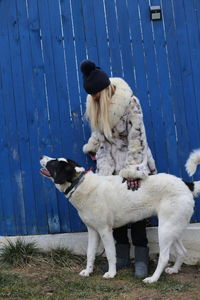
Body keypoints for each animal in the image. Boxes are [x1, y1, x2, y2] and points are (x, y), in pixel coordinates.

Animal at [39, 150, 200, 284]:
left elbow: (111, 254)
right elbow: (90, 253)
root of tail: (185, 184)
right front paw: (88, 271)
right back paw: (174, 269)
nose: (41, 156)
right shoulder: (93, 231)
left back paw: (153, 279)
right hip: (173, 229)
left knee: (165, 257)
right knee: (182, 251)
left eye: (54, 162)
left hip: (165, 230)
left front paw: (111, 273)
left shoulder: (105, 231)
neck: (79, 183)